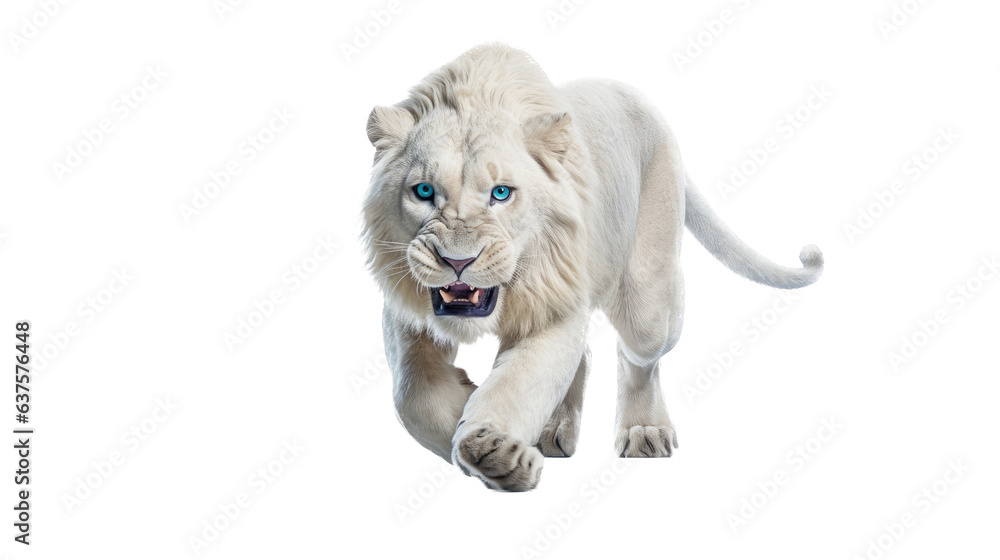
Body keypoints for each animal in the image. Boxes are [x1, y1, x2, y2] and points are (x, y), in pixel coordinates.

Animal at [362, 43, 823, 491]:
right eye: (424, 191)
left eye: (501, 193)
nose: (458, 261)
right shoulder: (406, 308)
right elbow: (413, 396)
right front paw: (475, 422)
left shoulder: (558, 301)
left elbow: (520, 381)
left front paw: (493, 448)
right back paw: (553, 432)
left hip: (651, 301)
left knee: (639, 359)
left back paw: (643, 432)